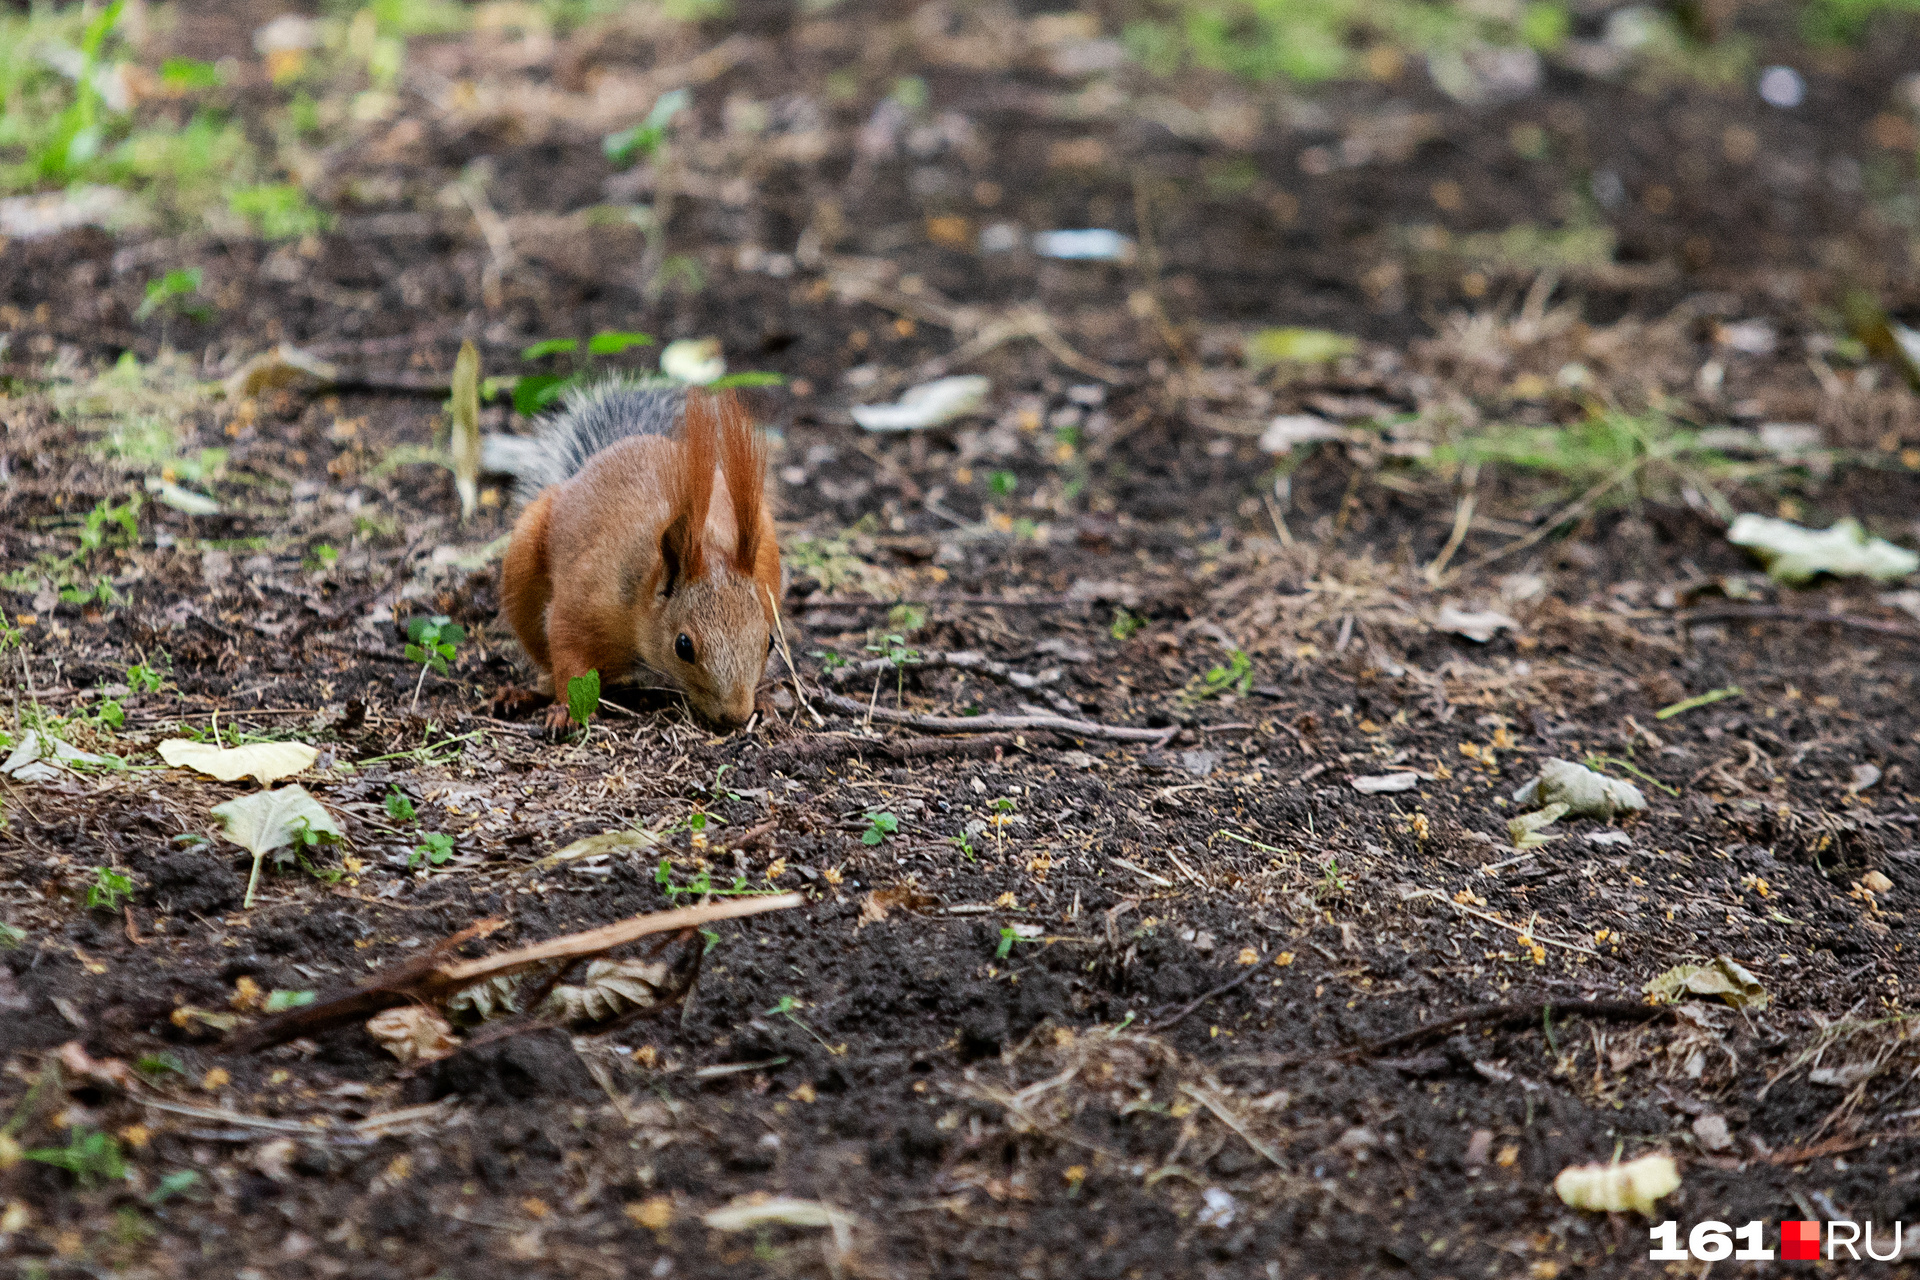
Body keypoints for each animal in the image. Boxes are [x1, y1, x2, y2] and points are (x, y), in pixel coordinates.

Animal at [503, 383, 787, 729]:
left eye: (770, 642)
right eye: (683, 646)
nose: (735, 715)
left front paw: (764, 699)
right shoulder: (583, 603)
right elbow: (569, 656)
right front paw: (567, 711)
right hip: (523, 566)